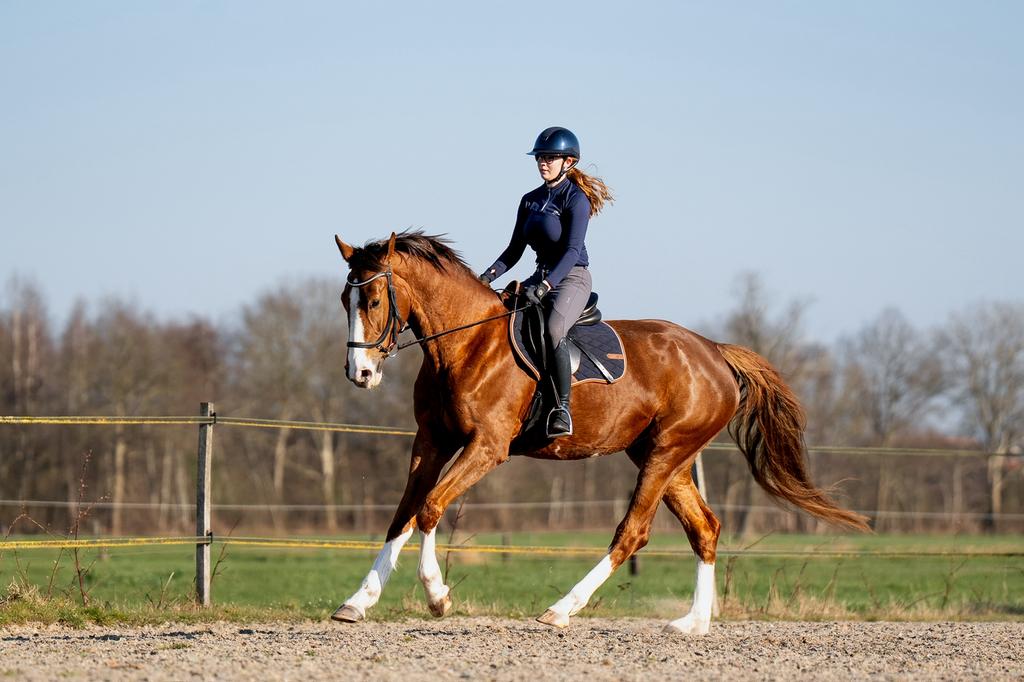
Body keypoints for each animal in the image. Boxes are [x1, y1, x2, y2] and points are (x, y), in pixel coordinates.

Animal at [331, 230, 868, 634]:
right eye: (344, 300)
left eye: (373, 299)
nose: (359, 373)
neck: (465, 344)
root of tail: (714, 352)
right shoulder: (432, 441)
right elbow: (402, 515)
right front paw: (359, 601)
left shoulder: (487, 446)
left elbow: (430, 507)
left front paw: (438, 596)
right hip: (662, 457)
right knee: (705, 528)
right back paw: (692, 624)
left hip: (668, 452)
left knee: (632, 533)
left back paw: (561, 610)